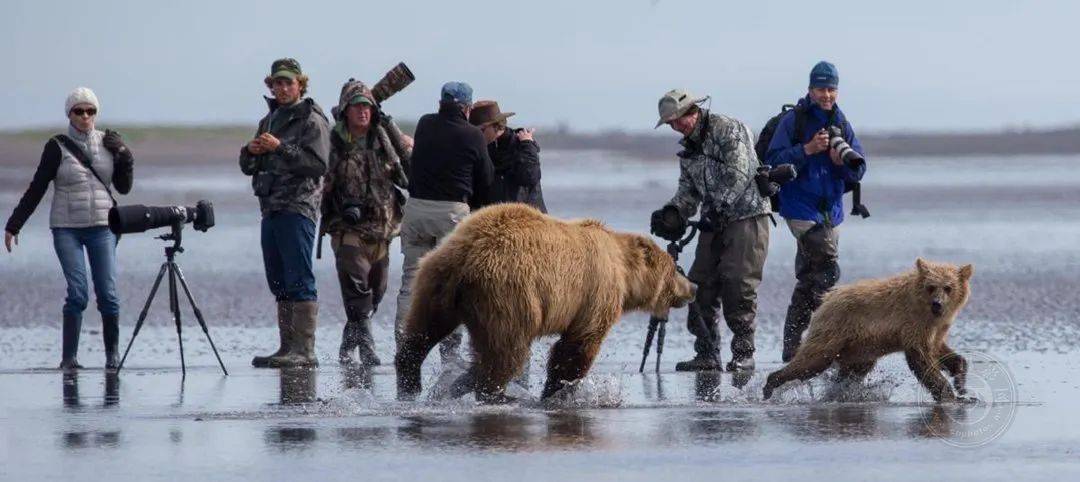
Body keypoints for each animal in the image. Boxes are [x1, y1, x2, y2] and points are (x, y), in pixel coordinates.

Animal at [395, 203, 691, 402]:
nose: (693, 288)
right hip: (508, 294)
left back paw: (413, 382)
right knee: (506, 351)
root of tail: (465, 258)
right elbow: (577, 345)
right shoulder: (596, 292)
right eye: (676, 269)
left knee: (422, 332)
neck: (623, 269)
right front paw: (558, 390)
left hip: (435, 283)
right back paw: (493, 392)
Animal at [760, 259, 980, 402]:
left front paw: (961, 382)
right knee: (811, 361)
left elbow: (939, 350)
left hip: (858, 348)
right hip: (835, 331)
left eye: (948, 287)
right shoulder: (913, 322)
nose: (937, 304)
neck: (926, 310)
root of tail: (826, 299)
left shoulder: (937, 327)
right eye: (931, 286)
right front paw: (949, 395)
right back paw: (770, 385)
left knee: (852, 371)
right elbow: (921, 358)